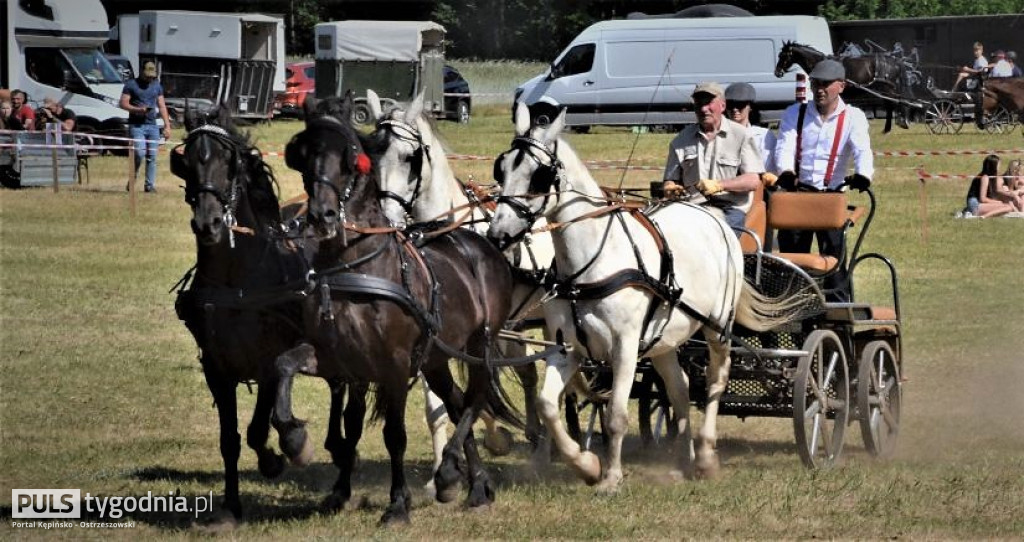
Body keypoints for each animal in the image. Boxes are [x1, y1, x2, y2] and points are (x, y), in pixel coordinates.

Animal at [270, 94, 520, 524]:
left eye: (350, 156)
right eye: (301, 154)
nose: (321, 216)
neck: (357, 265)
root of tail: (481, 243)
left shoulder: (395, 365)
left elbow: (395, 435)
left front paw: (398, 504)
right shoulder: (341, 360)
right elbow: (293, 372)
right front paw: (300, 445)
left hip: (480, 344)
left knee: (475, 398)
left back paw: (450, 470)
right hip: (436, 357)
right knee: (457, 403)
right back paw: (476, 485)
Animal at [368, 91, 557, 481]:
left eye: (409, 157)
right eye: (371, 154)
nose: (388, 218)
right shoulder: (431, 338)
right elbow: (438, 407)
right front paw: (442, 469)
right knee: (530, 373)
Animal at [487, 103, 806, 491]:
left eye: (539, 175)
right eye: (502, 168)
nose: (498, 234)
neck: (591, 263)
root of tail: (710, 214)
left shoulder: (624, 347)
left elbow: (615, 415)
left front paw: (610, 477)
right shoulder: (567, 348)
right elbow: (549, 406)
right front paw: (586, 465)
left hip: (718, 328)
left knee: (715, 382)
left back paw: (705, 456)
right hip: (665, 340)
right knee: (680, 389)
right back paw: (682, 461)